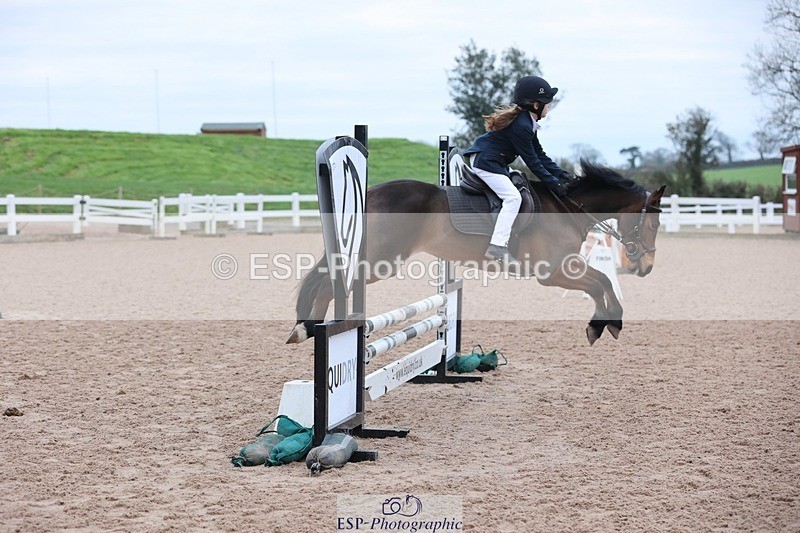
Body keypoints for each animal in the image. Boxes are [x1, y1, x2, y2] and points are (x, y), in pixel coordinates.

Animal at [287, 161, 666, 346]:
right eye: (652, 223)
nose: (647, 266)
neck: (567, 208)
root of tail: (371, 192)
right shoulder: (555, 271)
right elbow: (601, 282)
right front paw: (606, 323)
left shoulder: (564, 269)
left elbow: (602, 284)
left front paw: (605, 323)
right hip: (379, 262)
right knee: (329, 284)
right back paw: (308, 329)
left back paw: (305, 327)